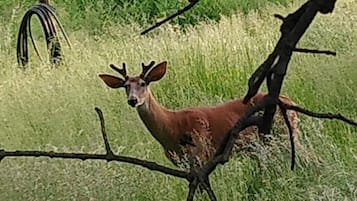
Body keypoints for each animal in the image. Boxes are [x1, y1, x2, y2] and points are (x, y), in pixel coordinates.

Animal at [98, 60, 298, 168]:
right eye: (126, 86)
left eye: (143, 83)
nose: (133, 100)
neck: (172, 128)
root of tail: (290, 101)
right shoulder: (180, 162)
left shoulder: (200, 152)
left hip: (282, 133)